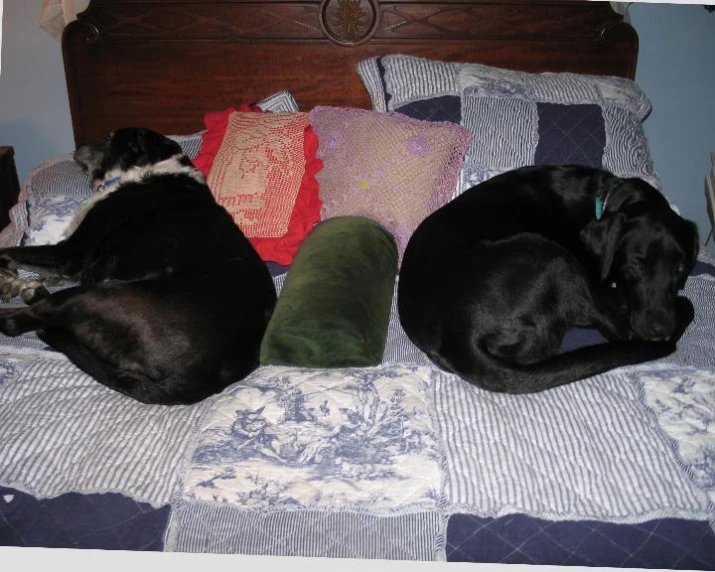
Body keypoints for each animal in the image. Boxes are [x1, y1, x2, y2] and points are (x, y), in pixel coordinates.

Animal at [0, 127, 276, 404]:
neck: (153, 169)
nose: (76, 149)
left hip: (98, 294)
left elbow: (5, 251)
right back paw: (33, 291)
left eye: (110, 138)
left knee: (18, 323)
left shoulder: (69, 253)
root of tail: (204, 378)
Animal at [400, 163, 704, 392]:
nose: (658, 330)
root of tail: (459, 338)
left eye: (680, 268)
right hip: (555, 258)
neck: (603, 201)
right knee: (623, 332)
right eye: (635, 264)